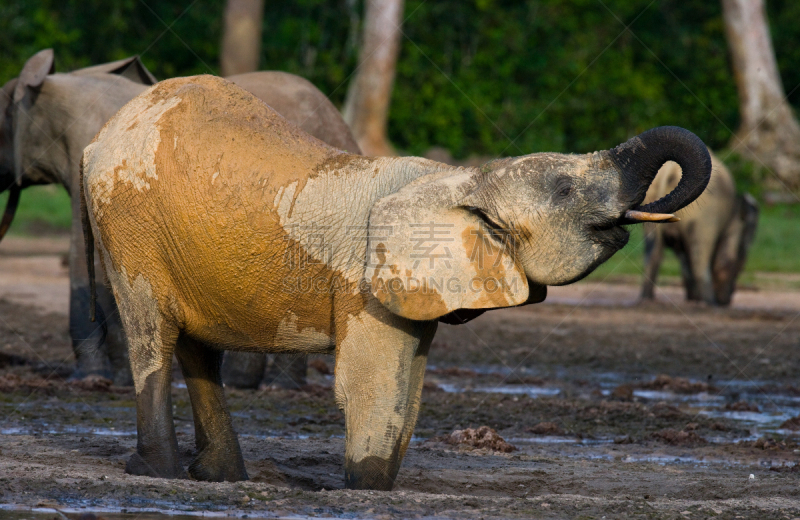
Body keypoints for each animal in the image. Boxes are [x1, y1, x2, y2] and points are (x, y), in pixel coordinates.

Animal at [640, 150, 760, 304]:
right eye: (742, 256)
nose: (726, 301)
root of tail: (670, 172)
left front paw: (693, 297)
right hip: (704, 215)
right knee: (700, 259)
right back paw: (709, 303)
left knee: (653, 255)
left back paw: (646, 299)